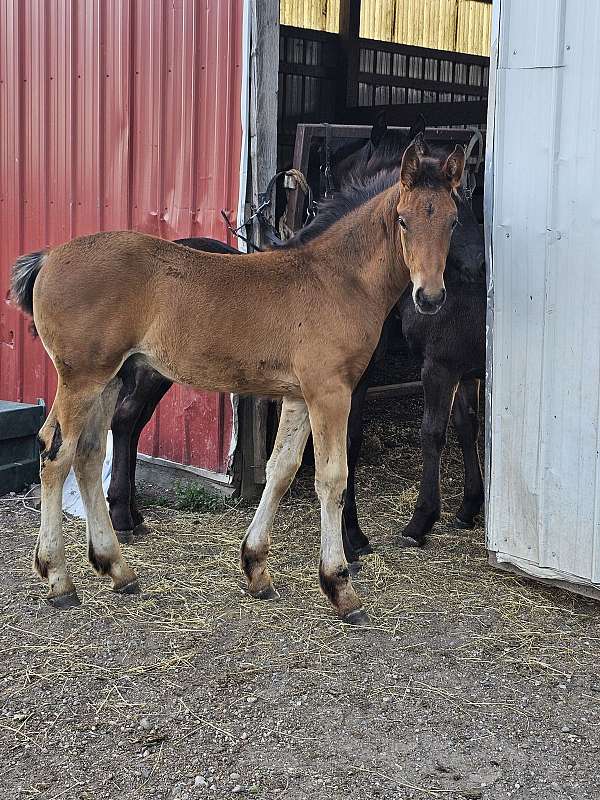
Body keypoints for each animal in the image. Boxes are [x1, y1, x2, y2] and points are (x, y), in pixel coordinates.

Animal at [10, 139, 464, 624]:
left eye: (453, 220)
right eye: (403, 218)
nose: (430, 297)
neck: (336, 279)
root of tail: (48, 257)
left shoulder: (299, 396)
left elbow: (281, 471)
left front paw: (256, 569)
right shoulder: (330, 393)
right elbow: (332, 478)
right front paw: (340, 587)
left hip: (108, 380)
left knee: (90, 456)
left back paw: (118, 569)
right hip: (81, 379)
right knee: (56, 454)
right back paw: (59, 579)